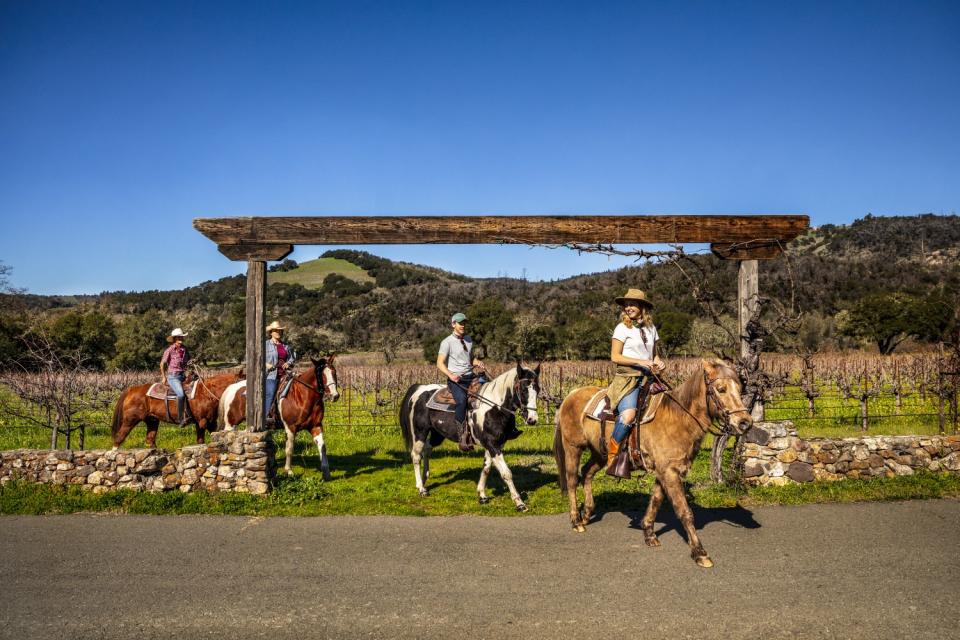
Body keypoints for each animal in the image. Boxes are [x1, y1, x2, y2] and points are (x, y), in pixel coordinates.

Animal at [109, 370, 244, 450]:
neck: (207, 393)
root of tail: (131, 389)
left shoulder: (210, 422)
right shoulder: (202, 421)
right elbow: (202, 440)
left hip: (152, 421)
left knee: (150, 439)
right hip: (130, 420)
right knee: (119, 436)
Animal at [398, 362, 540, 512]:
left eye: (538, 389)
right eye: (524, 390)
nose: (532, 419)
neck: (495, 407)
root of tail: (420, 388)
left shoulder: (494, 444)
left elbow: (486, 468)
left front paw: (482, 495)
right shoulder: (493, 444)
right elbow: (506, 473)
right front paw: (519, 503)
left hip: (437, 434)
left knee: (427, 449)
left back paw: (424, 479)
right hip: (420, 432)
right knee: (416, 456)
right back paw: (421, 488)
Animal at [552, 358, 752, 568]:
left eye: (740, 388)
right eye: (721, 389)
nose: (745, 422)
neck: (679, 418)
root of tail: (571, 395)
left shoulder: (665, 471)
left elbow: (656, 500)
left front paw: (649, 533)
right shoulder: (669, 472)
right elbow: (685, 511)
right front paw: (699, 552)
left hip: (600, 453)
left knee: (587, 472)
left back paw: (587, 513)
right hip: (573, 448)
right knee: (572, 480)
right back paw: (576, 521)